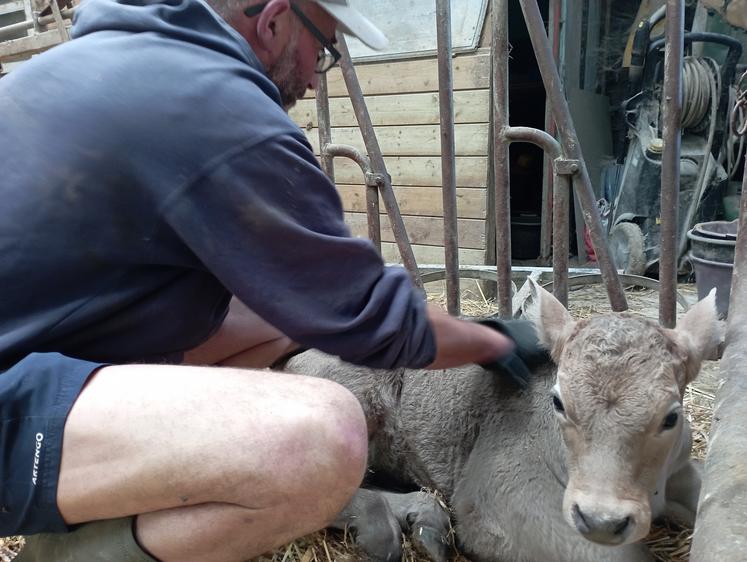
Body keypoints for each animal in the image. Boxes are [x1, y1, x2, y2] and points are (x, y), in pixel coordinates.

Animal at [282, 280, 720, 560]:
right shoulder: (499, 494)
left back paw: (425, 521)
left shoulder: (684, 471)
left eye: (671, 417)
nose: (602, 520)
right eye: (558, 402)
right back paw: (382, 529)